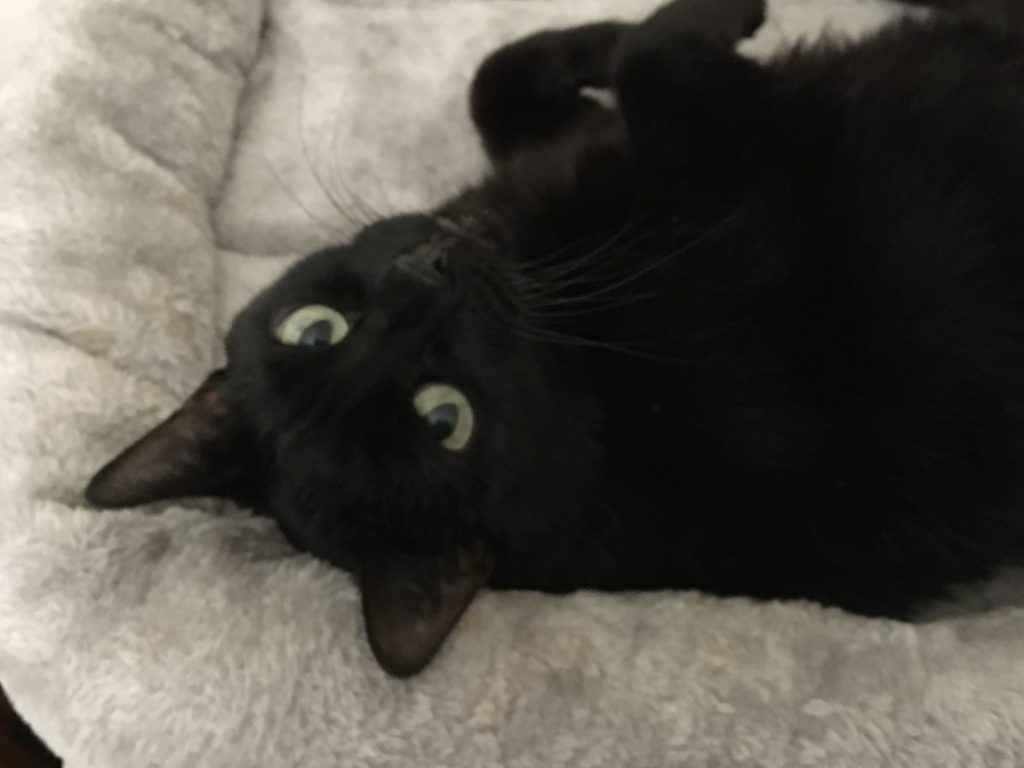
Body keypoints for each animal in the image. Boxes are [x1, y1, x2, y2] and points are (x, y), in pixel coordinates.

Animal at [83, 0, 1024, 675]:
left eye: (314, 330)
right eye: (444, 420)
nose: (427, 275)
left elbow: (495, 76)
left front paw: (602, 41)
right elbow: (655, 58)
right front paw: (724, 12)